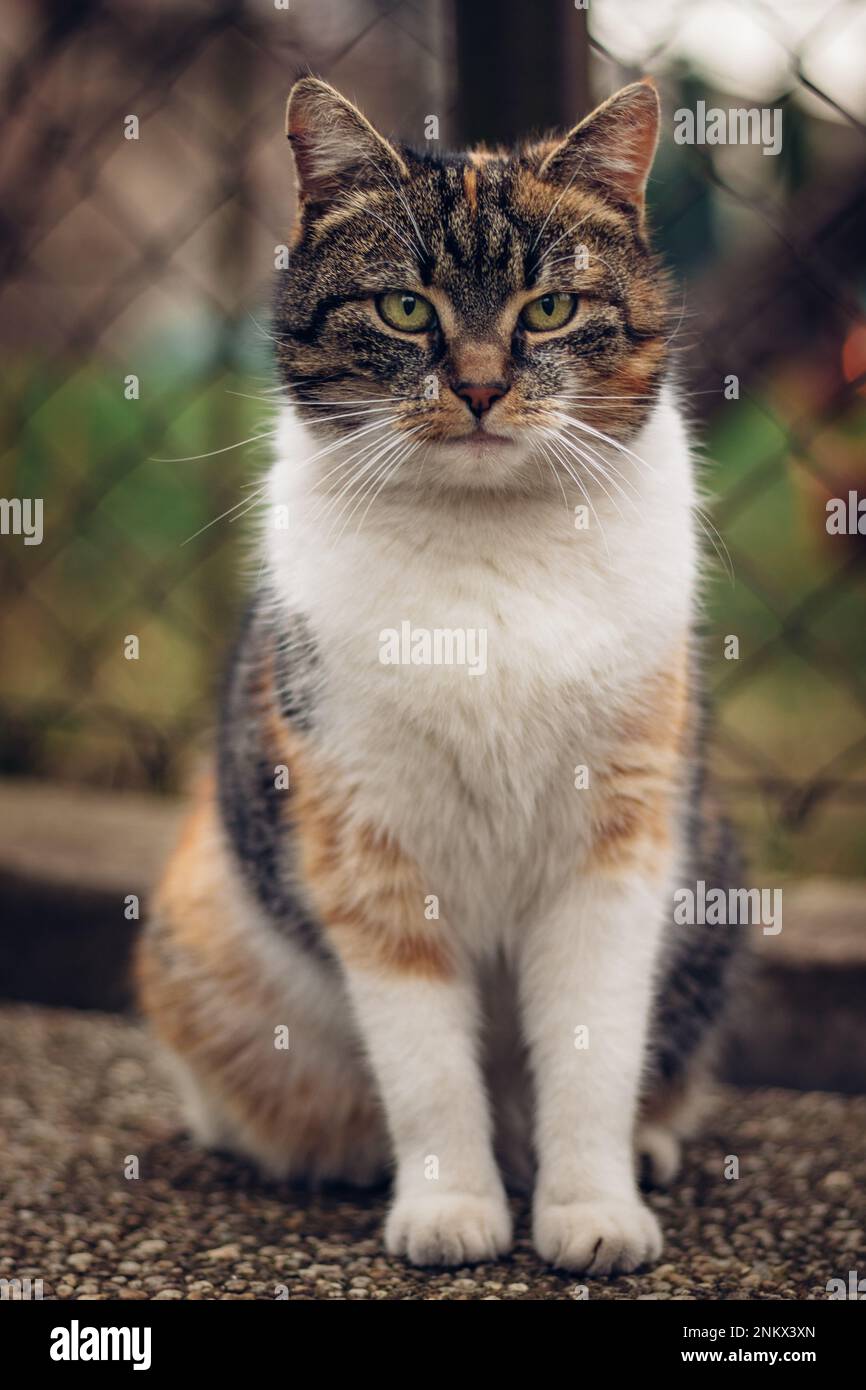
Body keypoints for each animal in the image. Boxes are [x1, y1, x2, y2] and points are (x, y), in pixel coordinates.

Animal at [139, 73, 739, 1273]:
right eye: (404, 310)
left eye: (548, 310)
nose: (477, 389)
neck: (487, 544)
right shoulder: (362, 835)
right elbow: (423, 1062)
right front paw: (451, 1205)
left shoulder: (621, 839)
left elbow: (594, 1048)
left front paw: (591, 1209)